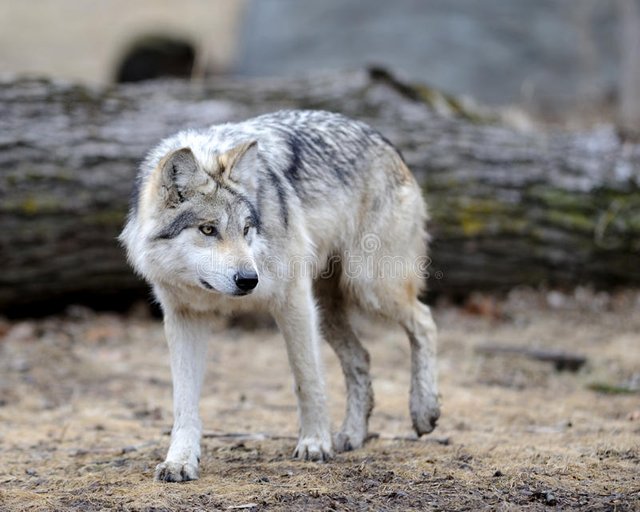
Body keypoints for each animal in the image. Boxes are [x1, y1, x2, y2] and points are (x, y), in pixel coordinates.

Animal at [119, 110, 440, 482]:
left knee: (425, 321)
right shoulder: (184, 318)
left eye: (246, 229)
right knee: (362, 356)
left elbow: (307, 378)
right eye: (208, 229)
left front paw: (315, 443)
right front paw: (180, 461)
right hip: (328, 311)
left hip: (368, 286)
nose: (249, 280)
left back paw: (424, 410)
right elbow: (183, 401)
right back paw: (352, 434)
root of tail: (382, 137)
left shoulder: (292, 299)